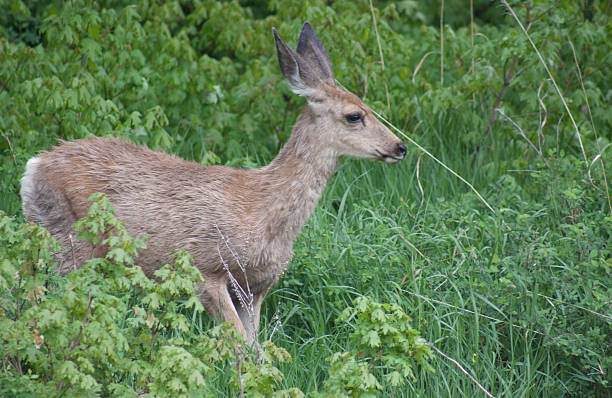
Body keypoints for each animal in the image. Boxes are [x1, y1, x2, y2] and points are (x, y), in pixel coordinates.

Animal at [21, 22, 406, 346]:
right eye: (354, 116)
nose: (399, 147)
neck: (264, 209)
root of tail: (32, 168)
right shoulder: (203, 266)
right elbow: (239, 348)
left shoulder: (256, 288)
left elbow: (256, 349)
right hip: (69, 243)